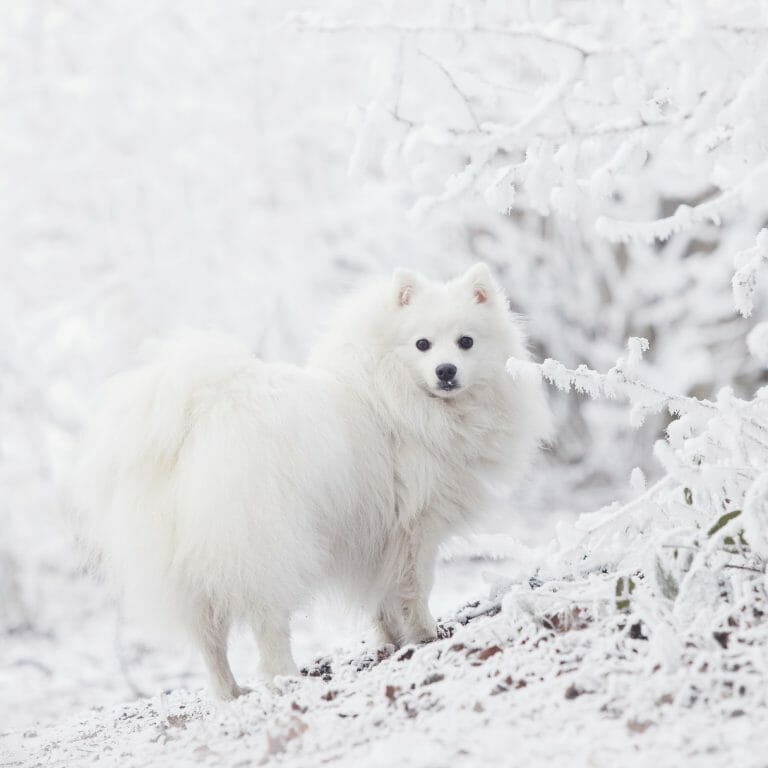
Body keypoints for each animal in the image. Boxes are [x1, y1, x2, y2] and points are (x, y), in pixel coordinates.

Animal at [69, 266, 552, 704]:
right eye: (422, 345)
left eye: (466, 342)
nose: (446, 370)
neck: (397, 394)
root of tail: (198, 419)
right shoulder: (416, 527)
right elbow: (413, 590)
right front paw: (427, 636)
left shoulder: (376, 536)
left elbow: (381, 600)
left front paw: (393, 643)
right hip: (267, 547)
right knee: (267, 624)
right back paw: (286, 679)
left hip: (195, 570)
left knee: (209, 641)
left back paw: (229, 693)